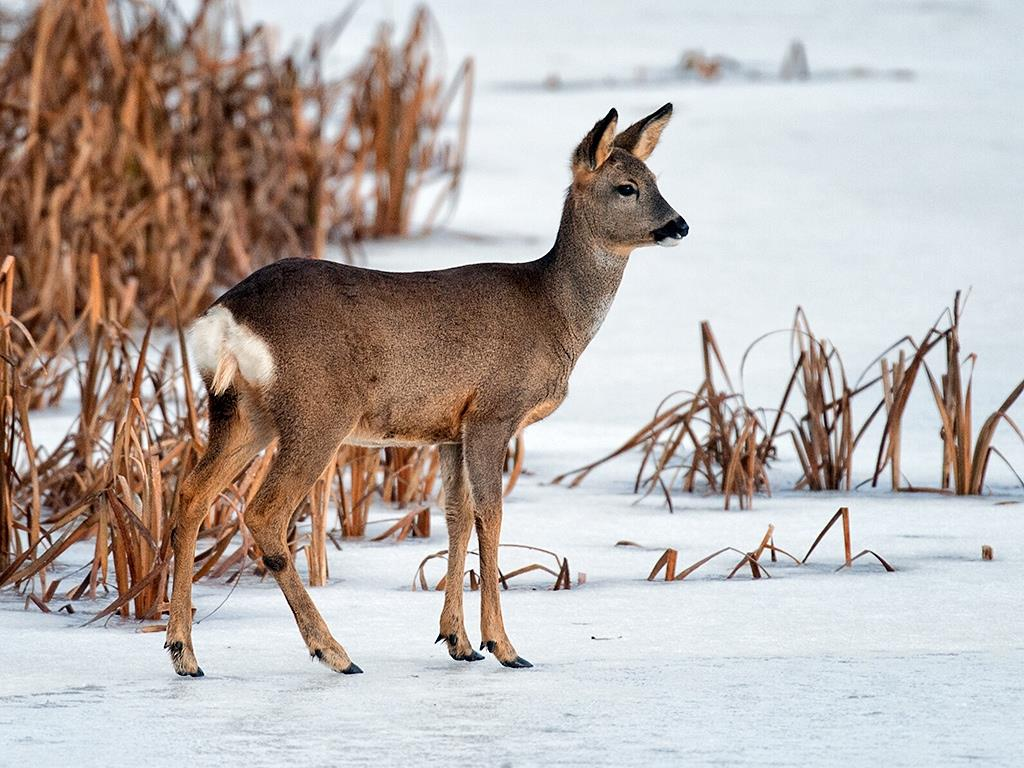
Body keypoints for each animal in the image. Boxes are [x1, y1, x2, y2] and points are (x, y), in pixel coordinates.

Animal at [167, 105, 688, 675]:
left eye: (655, 179)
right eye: (626, 187)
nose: (679, 225)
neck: (554, 310)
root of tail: (225, 318)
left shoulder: (449, 429)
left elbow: (455, 517)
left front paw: (458, 640)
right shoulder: (492, 413)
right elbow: (490, 514)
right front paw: (504, 646)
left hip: (241, 411)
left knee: (190, 494)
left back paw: (184, 652)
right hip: (317, 411)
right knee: (264, 514)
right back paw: (334, 651)